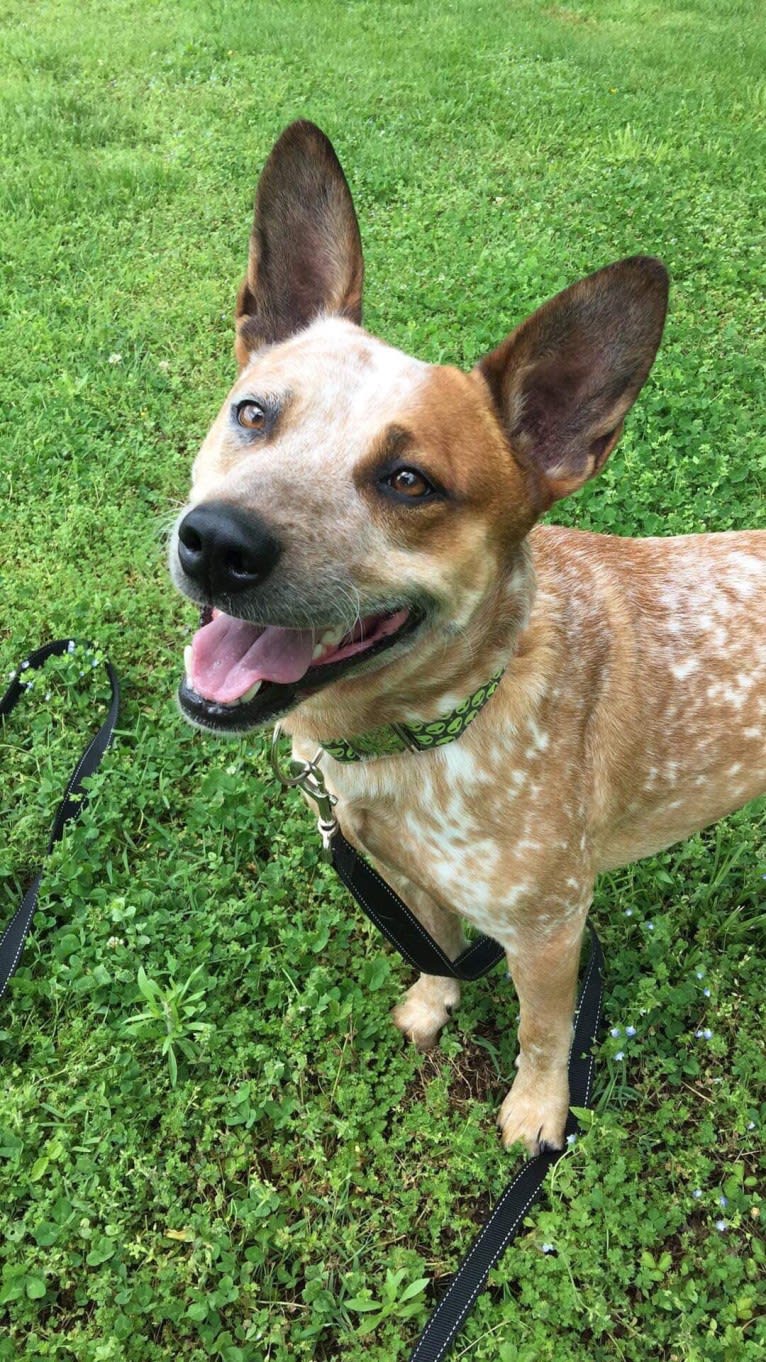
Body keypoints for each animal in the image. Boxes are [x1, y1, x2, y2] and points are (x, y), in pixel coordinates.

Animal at [168, 122, 763, 1154]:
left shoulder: (553, 928)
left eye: (410, 481)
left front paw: (537, 1112)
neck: (428, 729)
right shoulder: (406, 877)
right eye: (254, 414)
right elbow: (436, 950)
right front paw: (430, 1004)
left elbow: (543, 1032)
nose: (216, 543)